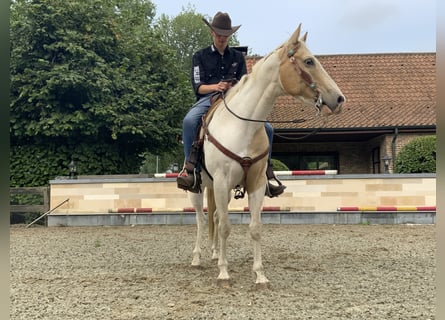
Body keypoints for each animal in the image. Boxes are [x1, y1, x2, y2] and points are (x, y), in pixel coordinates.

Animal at [187, 23, 344, 286]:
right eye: (309, 61)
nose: (339, 98)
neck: (242, 126)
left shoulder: (256, 183)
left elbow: (255, 227)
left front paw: (259, 274)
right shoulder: (221, 182)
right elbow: (226, 227)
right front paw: (224, 272)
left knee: (216, 217)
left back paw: (216, 254)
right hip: (198, 189)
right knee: (200, 219)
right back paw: (197, 258)